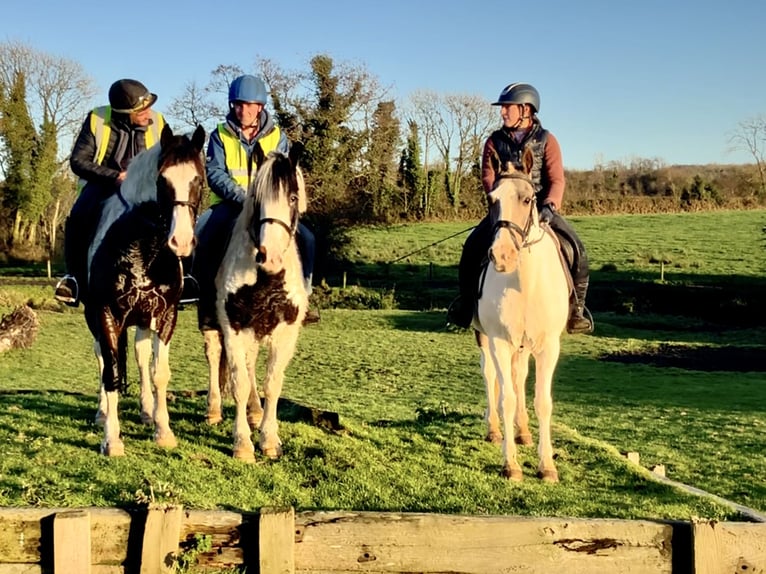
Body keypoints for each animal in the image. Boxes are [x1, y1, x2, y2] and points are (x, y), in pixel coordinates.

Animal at [85, 125, 206, 460]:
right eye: (162, 180)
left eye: (199, 179)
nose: (181, 242)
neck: (142, 247)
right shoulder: (106, 315)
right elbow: (111, 373)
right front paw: (112, 439)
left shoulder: (165, 315)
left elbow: (158, 372)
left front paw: (163, 431)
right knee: (102, 360)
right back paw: (103, 413)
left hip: (141, 319)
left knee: (140, 359)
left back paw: (147, 410)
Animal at [202, 143, 310, 464]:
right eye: (256, 199)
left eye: (292, 197)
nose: (269, 257)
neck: (267, 278)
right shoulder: (233, 327)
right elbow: (238, 383)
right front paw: (243, 444)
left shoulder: (286, 332)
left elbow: (271, 384)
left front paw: (269, 440)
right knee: (214, 355)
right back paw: (214, 410)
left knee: (250, 366)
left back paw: (254, 412)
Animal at [476, 147, 572, 482]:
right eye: (492, 199)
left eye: (528, 199)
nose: (502, 256)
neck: (524, 282)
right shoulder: (499, 341)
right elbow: (506, 397)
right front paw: (511, 464)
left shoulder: (547, 345)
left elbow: (543, 401)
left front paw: (547, 466)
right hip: (486, 339)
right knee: (492, 375)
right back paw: (495, 430)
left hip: (524, 345)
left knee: (519, 376)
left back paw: (523, 431)